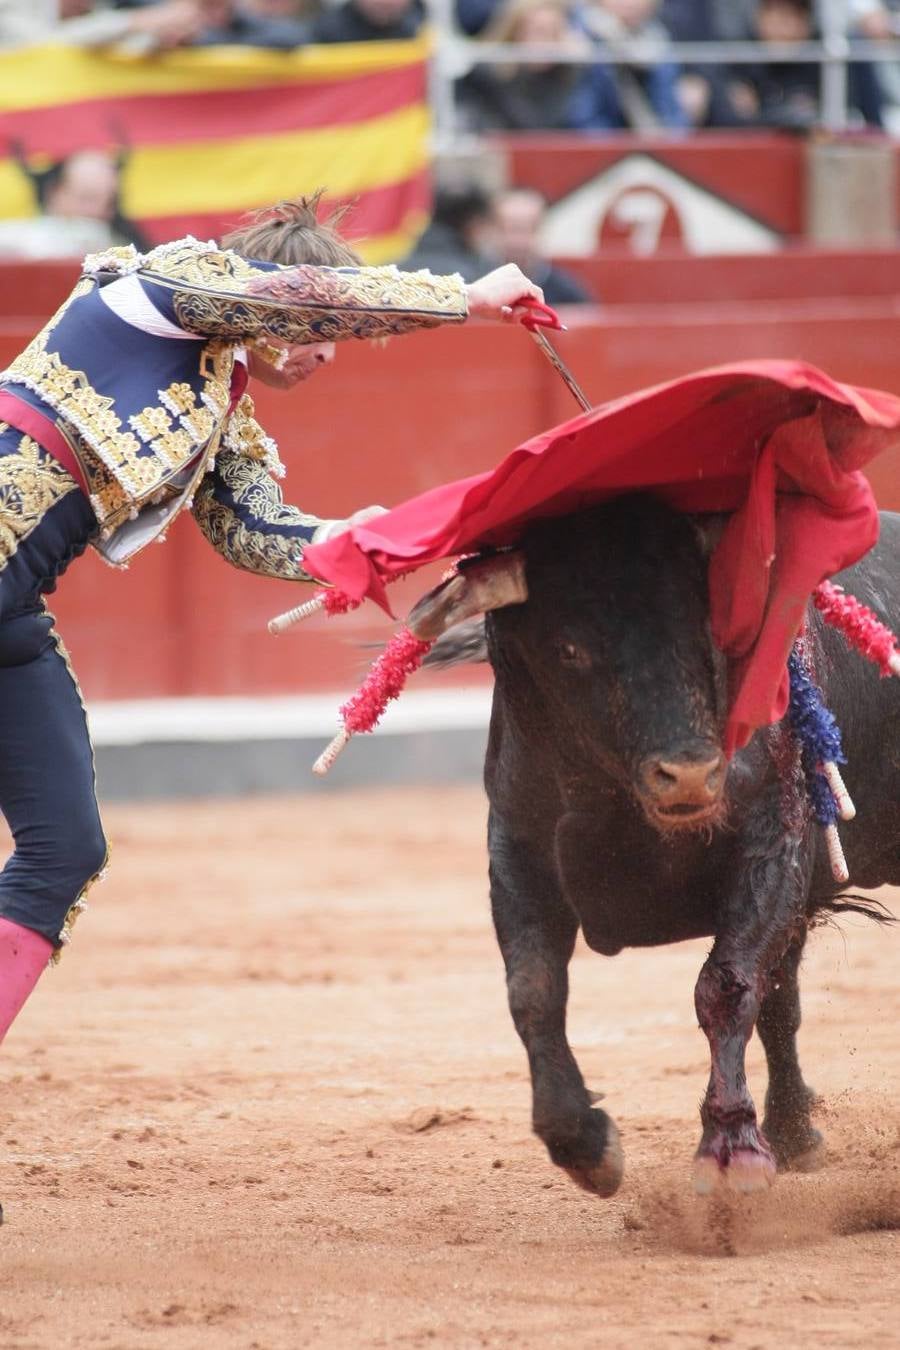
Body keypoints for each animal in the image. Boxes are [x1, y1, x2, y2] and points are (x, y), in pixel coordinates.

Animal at [412, 494, 895, 1193]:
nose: (690, 774)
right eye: (570, 648)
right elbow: (533, 989)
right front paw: (584, 1145)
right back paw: (795, 1134)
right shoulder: (518, 851)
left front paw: (732, 1149)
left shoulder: (772, 845)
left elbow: (727, 986)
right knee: (783, 1002)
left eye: (717, 630)